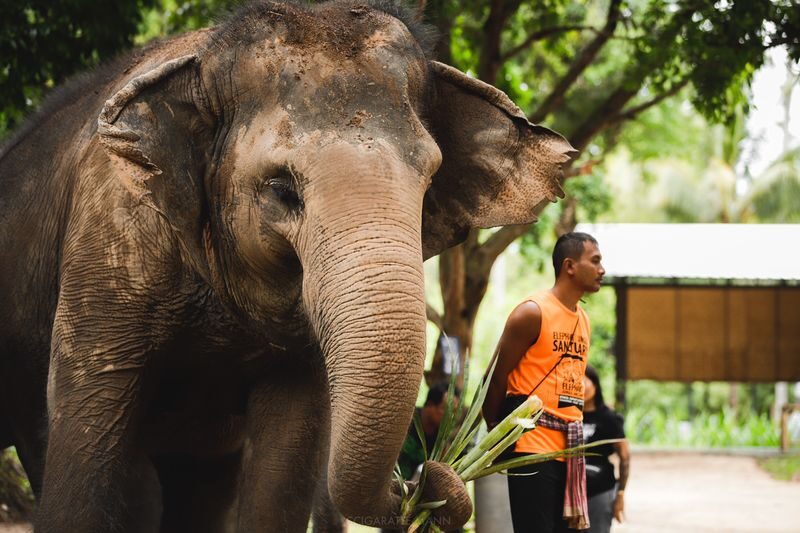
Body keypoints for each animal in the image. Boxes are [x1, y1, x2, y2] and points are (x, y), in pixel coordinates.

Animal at [0, 0, 574, 531]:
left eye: (431, 180)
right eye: (281, 190)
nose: (420, 479)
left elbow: (285, 463)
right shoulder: (110, 242)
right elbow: (90, 430)